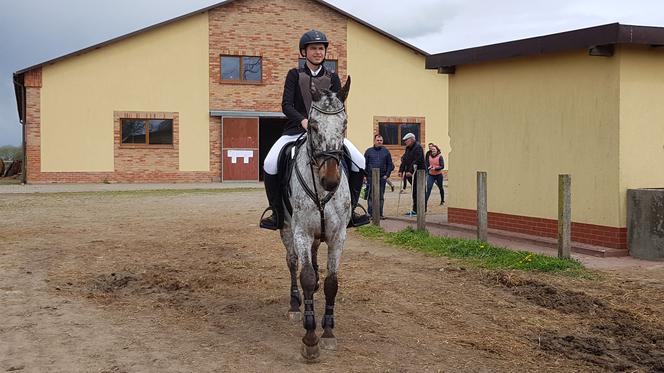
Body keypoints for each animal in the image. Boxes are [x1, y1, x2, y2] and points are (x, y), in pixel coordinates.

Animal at [278, 76, 352, 360]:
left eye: (344, 124)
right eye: (313, 125)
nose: (330, 181)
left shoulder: (337, 235)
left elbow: (332, 282)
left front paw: (328, 331)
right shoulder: (301, 232)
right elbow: (306, 276)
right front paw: (310, 339)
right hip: (287, 229)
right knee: (292, 263)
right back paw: (294, 305)